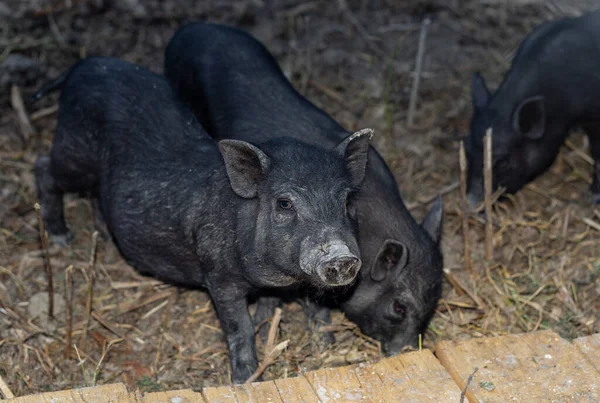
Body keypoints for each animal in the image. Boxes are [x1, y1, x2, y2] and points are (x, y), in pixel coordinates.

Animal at [34, 56, 370, 382]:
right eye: (285, 203)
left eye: (346, 200)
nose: (341, 257)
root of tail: (83, 65)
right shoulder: (218, 277)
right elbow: (239, 327)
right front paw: (246, 379)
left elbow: (302, 307)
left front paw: (325, 343)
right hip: (74, 152)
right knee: (44, 168)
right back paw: (62, 238)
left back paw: (102, 235)